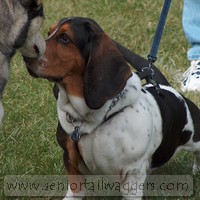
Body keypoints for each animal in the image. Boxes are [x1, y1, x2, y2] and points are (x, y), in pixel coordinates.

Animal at [24, 16, 200, 198]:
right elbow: (75, 190)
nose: (25, 54)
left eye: (65, 38)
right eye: (49, 32)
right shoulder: (71, 162)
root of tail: (167, 88)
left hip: (195, 140)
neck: (90, 120)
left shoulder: (132, 174)